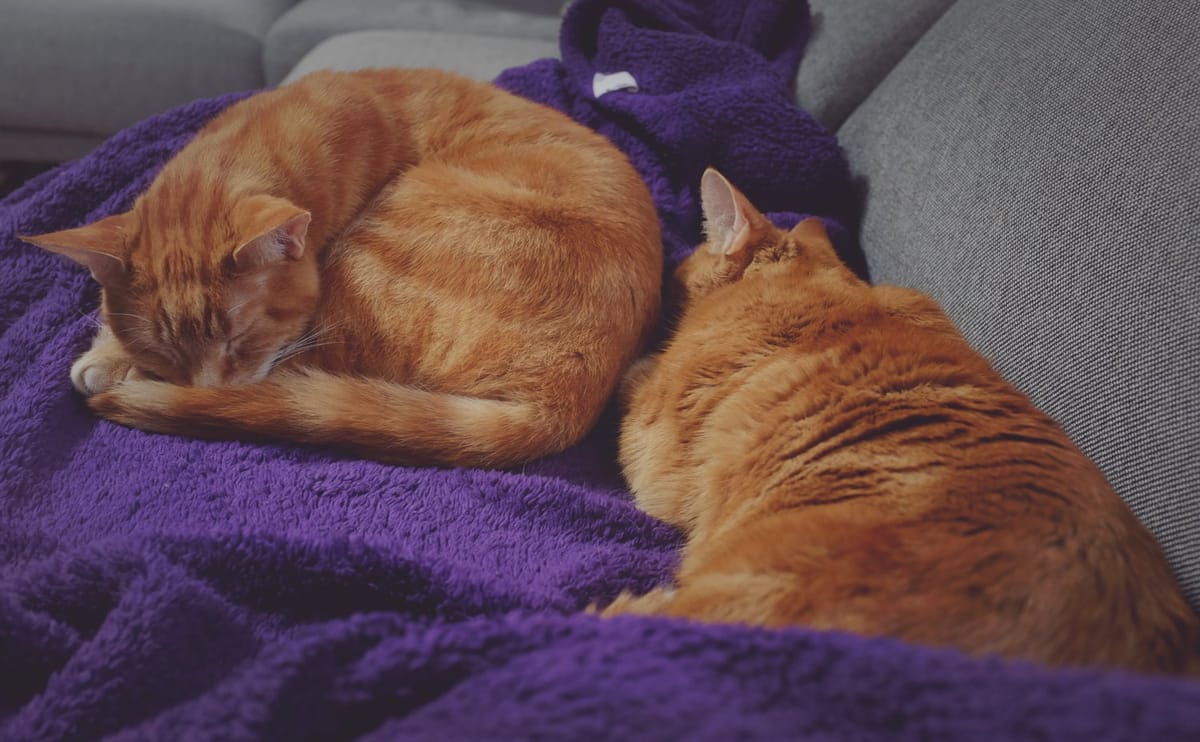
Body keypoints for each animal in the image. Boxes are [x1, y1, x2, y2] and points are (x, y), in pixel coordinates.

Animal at [25, 67, 667, 461]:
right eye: (164, 351)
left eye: (240, 341)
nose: (205, 390)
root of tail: (562, 406)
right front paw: (110, 351)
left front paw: (114, 365)